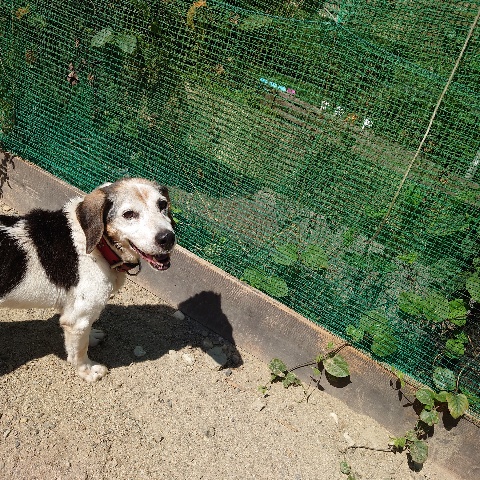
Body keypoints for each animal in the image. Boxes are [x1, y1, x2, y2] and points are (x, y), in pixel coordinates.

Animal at [0, 178, 176, 381]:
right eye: (129, 214)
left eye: (162, 204)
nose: (168, 238)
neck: (99, 246)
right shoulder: (77, 319)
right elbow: (79, 351)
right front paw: (88, 371)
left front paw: (92, 337)